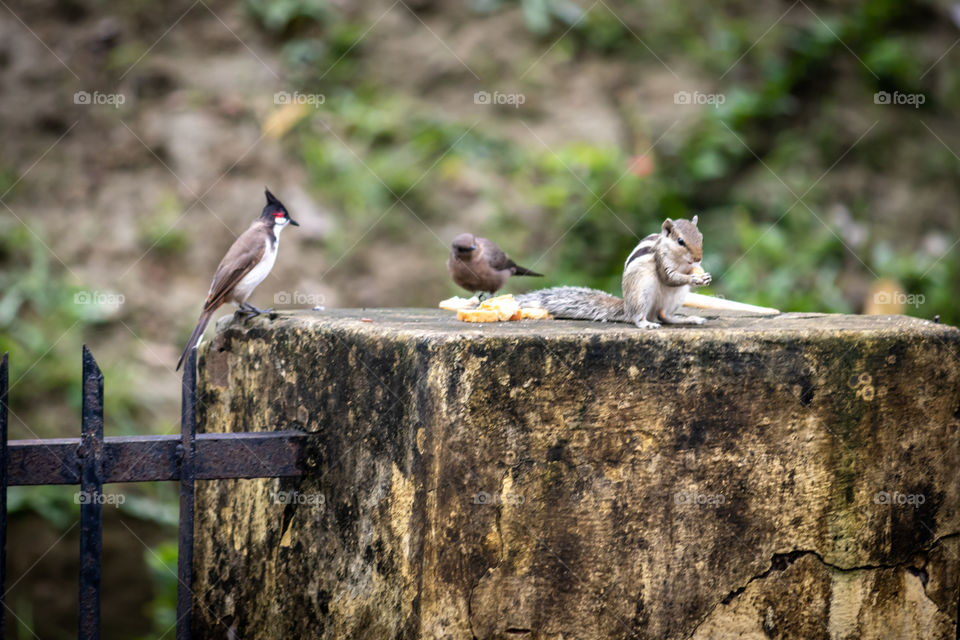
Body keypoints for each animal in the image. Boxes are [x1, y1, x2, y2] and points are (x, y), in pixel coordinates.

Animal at [516, 216, 712, 328]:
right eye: (680, 241)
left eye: (701, 237)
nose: (698, 258)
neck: (680, 261)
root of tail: (626, 307)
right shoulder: (661, 261)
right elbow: (669, 278)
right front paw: (694, 278)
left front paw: (705, 275)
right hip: (642, 293)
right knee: (639, 317)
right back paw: (646, 324)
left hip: (676, 298)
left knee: (665, 316)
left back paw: (688, 319)